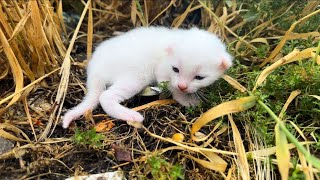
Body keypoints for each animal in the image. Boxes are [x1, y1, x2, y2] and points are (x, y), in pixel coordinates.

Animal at [62, 26, 232, 128]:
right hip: (136, 76)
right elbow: (173, 90)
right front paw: (188, 101)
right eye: (175, 69)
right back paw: (130, 115)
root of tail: (94, 67)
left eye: (199, 77)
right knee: (106, 96)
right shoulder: (162, 73)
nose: (183, 86)